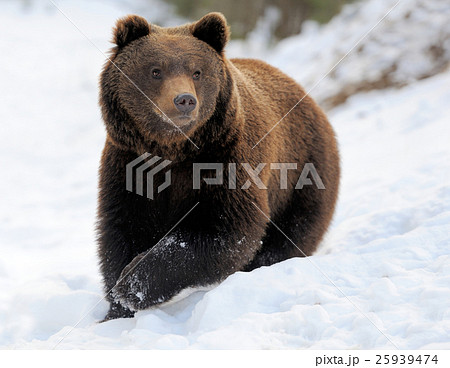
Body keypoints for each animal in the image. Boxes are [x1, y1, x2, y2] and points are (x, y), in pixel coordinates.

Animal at [96, 12, 340, 320]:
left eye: (197, 72)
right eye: (155, 70)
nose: (184, 100)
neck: (173, 151)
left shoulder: (228, 160)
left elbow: (225, 231)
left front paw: (132, 285)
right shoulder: (128, 164)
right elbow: (121, 229)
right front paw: (116, 306)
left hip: (302, 173)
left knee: (293, 232)